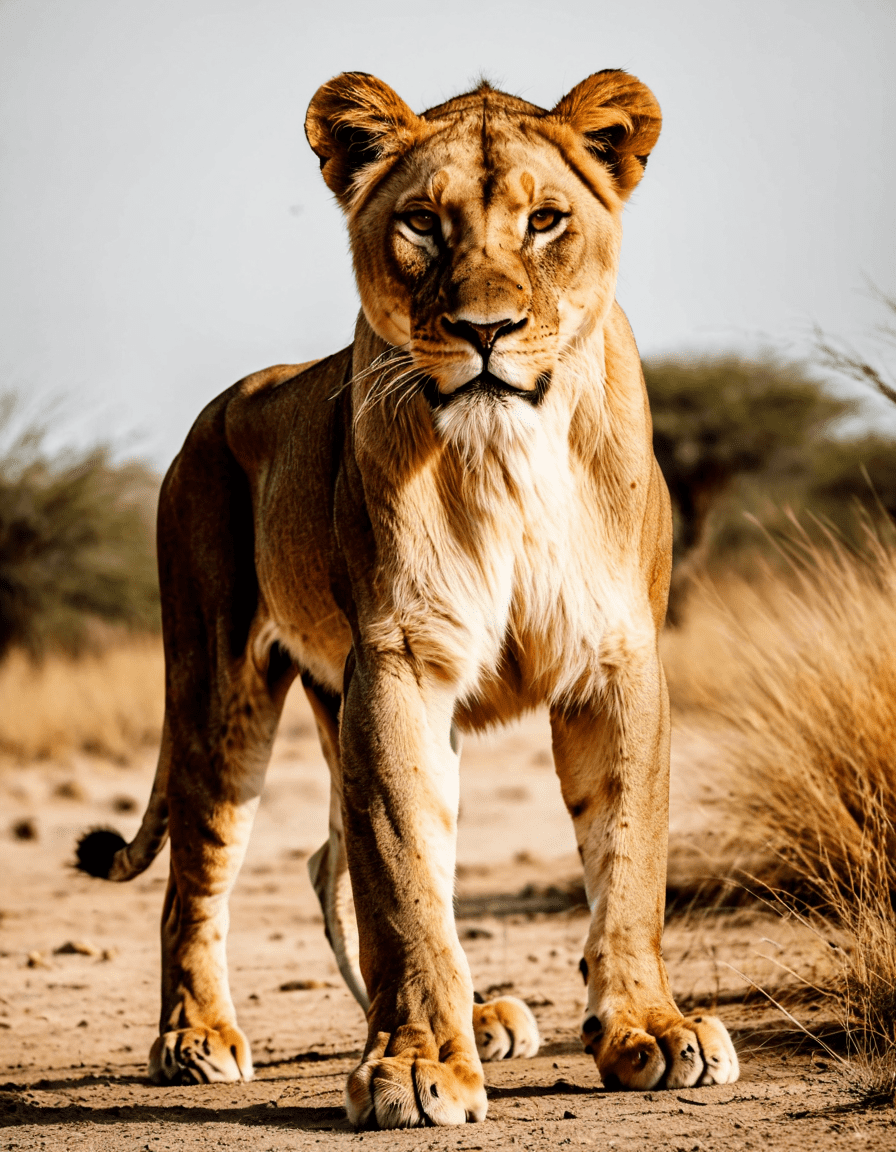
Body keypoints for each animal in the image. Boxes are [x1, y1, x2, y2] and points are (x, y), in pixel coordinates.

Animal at [76, 69, 739, 1128]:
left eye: (546, 221)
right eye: (423, 223)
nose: (485, 331)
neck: (509, 452)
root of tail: (218, 410)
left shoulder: (616, 657)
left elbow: (629, 856)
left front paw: (649, 1030)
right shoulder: (399, 658)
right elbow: (404, 881)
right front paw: (420, 1060)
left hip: (333, 695)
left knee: (329, 862)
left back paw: (485, 1013)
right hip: (219, 686)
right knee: (198, 877)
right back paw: (196, 1037)